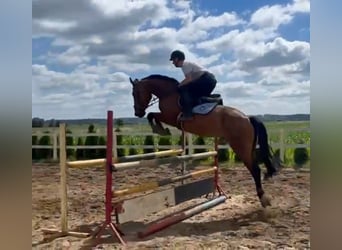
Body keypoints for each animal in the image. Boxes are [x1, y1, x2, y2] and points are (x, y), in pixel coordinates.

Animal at [128, 73, 278, 207]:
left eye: (135, 93)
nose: (137, 113)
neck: (168, 93)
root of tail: (247, 118)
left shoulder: (170, 117)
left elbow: (152, 115)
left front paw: (160, 130)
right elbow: (152, 115)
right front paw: (160, 129)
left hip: (241, 148)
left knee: (255, 170)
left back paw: (263, 199)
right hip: (248, 148)